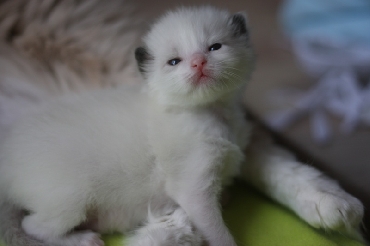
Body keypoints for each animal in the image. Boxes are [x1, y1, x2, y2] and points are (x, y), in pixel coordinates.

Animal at [0, 4, 364, 246]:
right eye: (174, 62)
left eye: (214, 47)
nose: (198, 63)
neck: (211, 113)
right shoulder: (193, 185)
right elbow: (215, 229)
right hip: (69, 199)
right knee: (35, 227)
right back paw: (83, 239)